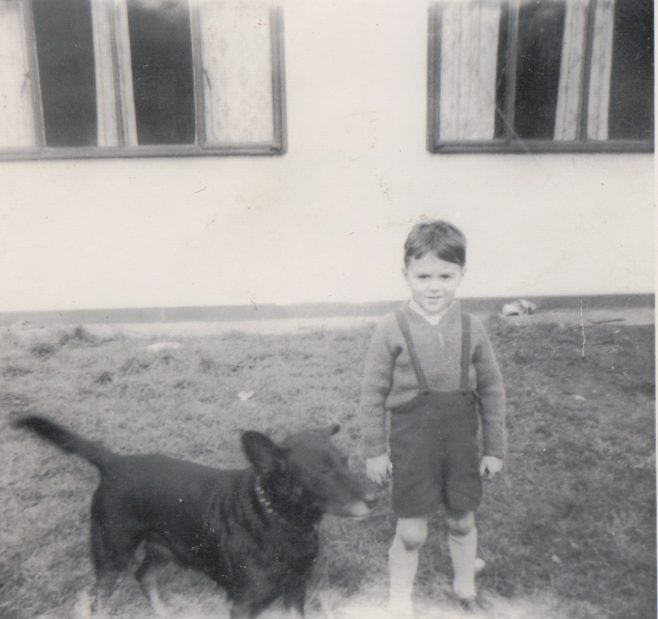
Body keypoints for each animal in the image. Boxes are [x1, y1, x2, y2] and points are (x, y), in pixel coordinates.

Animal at [14, 416, 374, 619]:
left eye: (345, 461)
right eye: (321, 472)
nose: (375, 497)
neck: (280, 522)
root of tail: (114, 462)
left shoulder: (296, 590)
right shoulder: (244, 605)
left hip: (165, 547)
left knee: (144, 576)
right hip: (112, 554)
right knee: (97, 600)